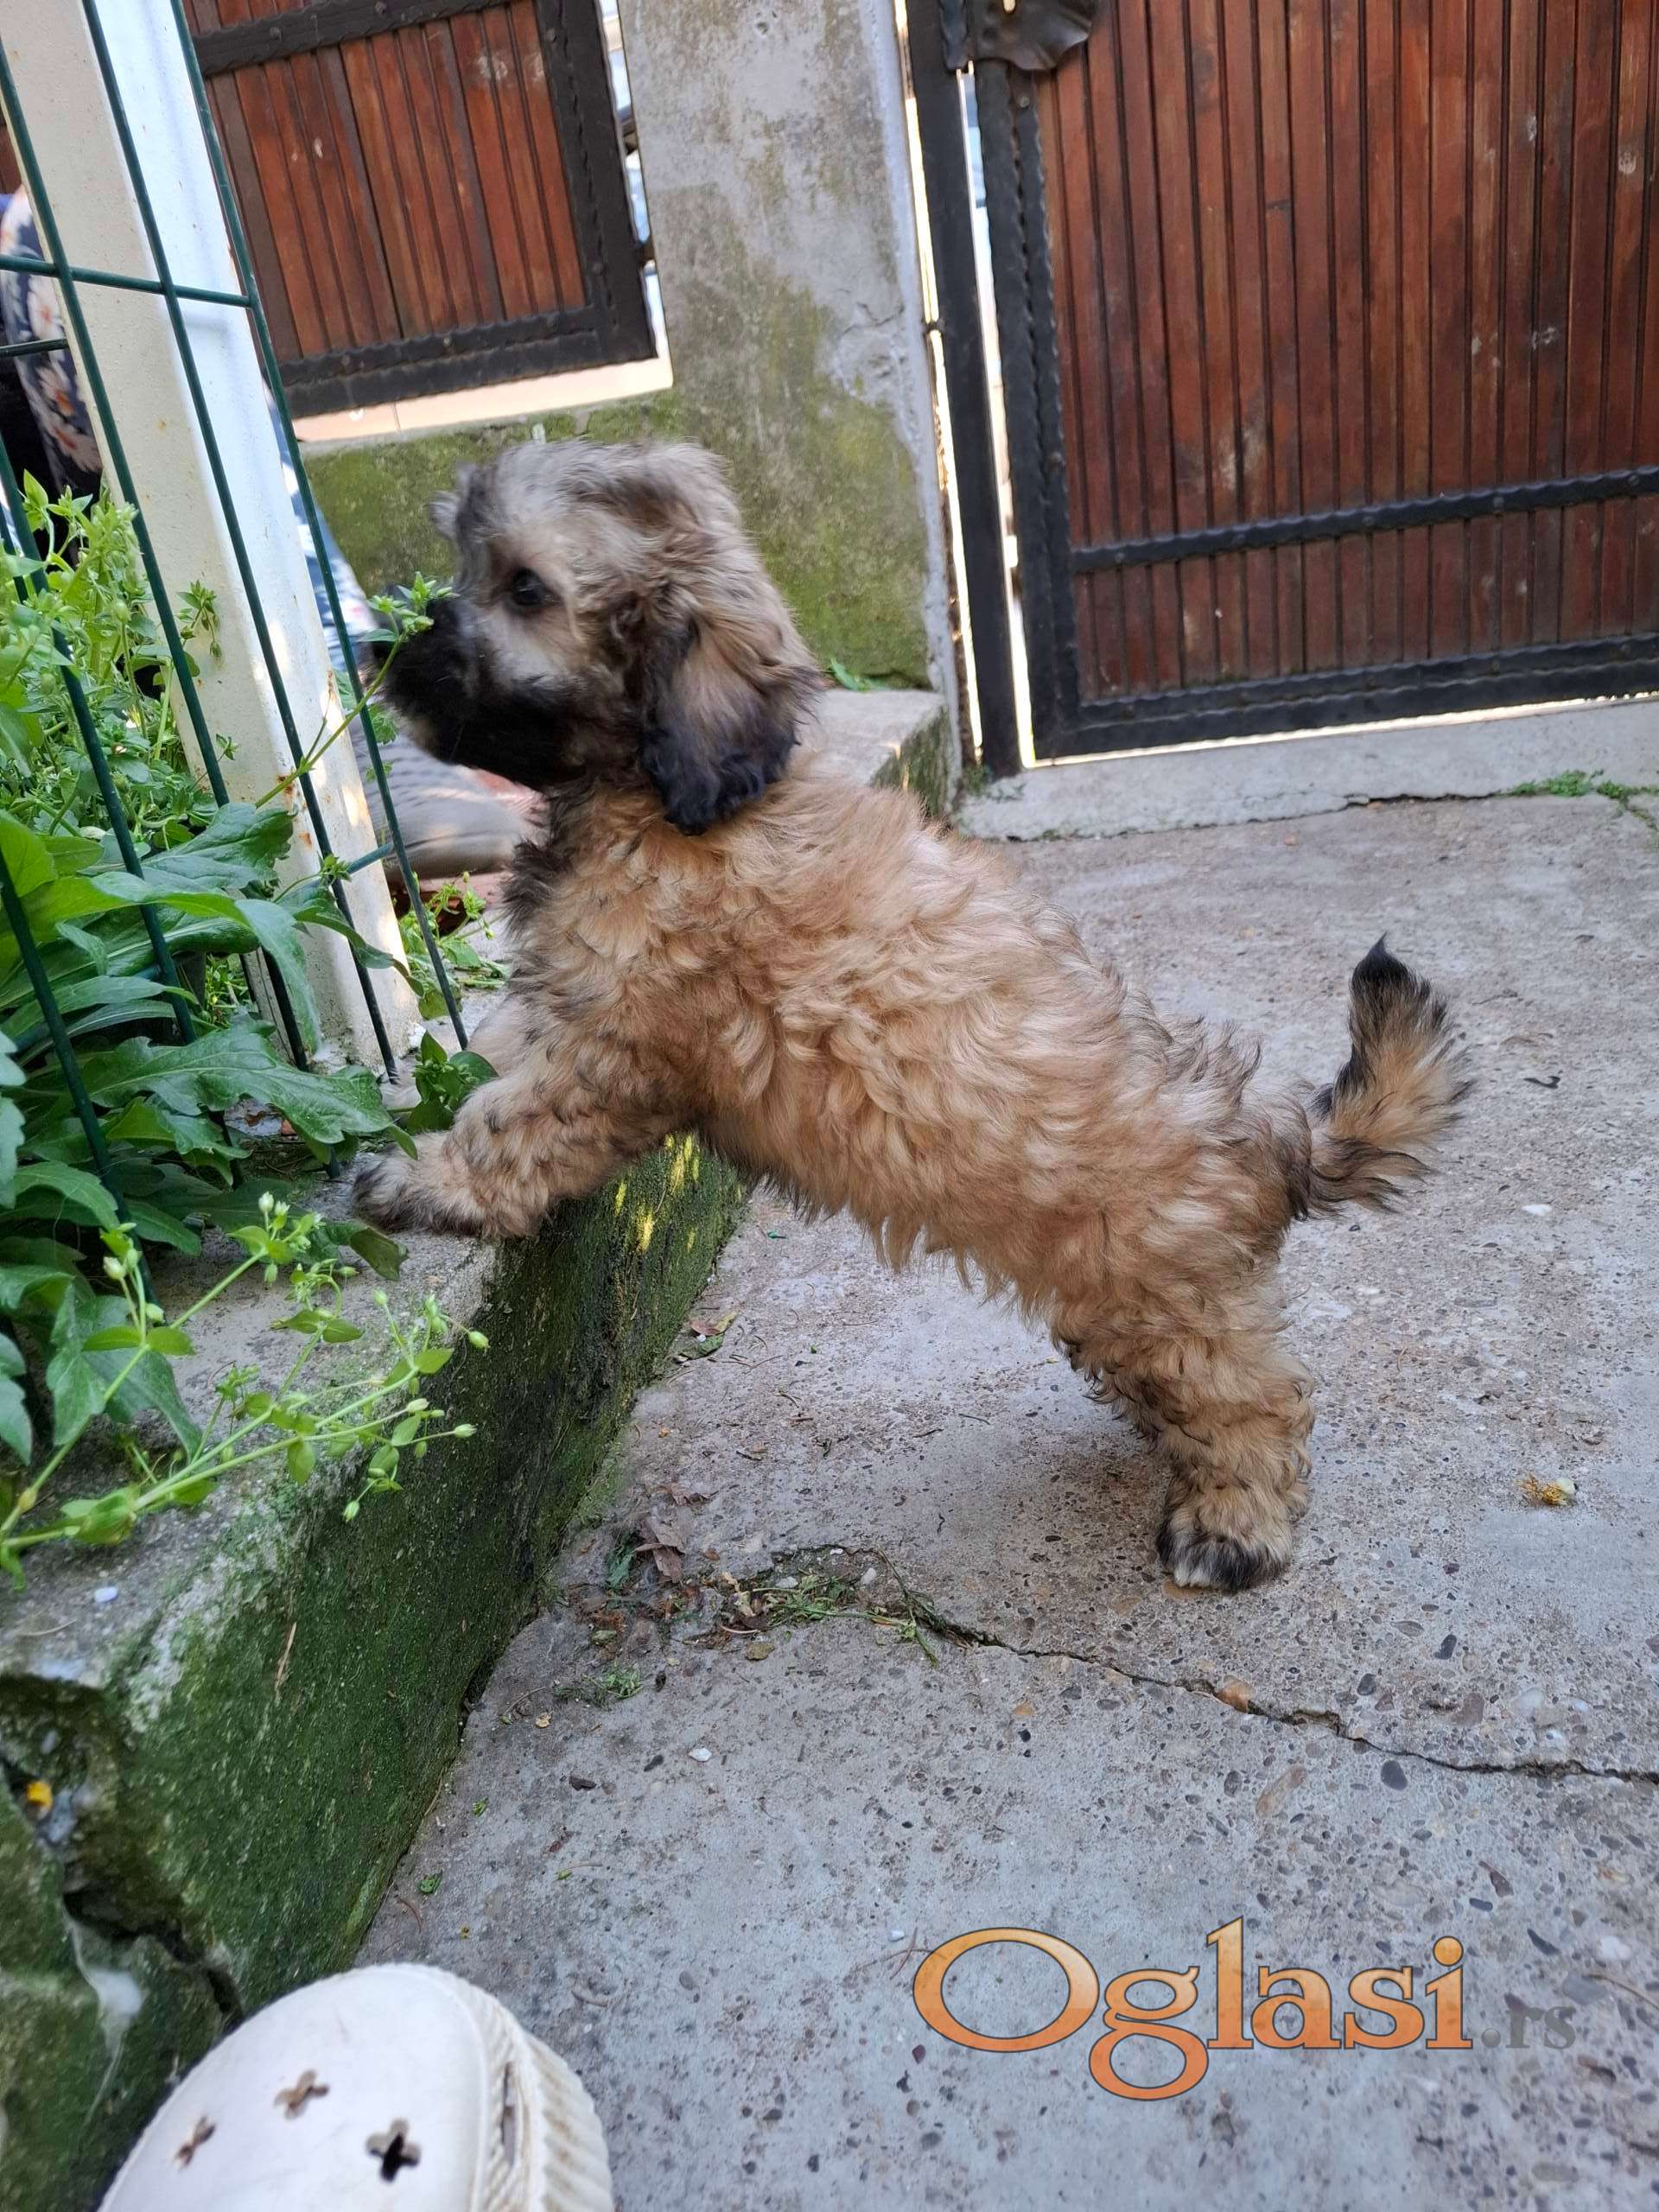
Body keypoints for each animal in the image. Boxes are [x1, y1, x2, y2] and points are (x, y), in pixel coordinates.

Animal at [356, 437, 1468, 1592]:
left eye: (525, 587)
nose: (377, 648)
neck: (670, 801)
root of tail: (1262, 1135)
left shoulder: (614, 1045)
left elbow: (514, 1122)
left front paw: (425, 1181)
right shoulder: (571, 1007)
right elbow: (497, 1059)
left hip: (1169, 1300)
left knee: (1253, 1400)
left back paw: (1232, 1520)